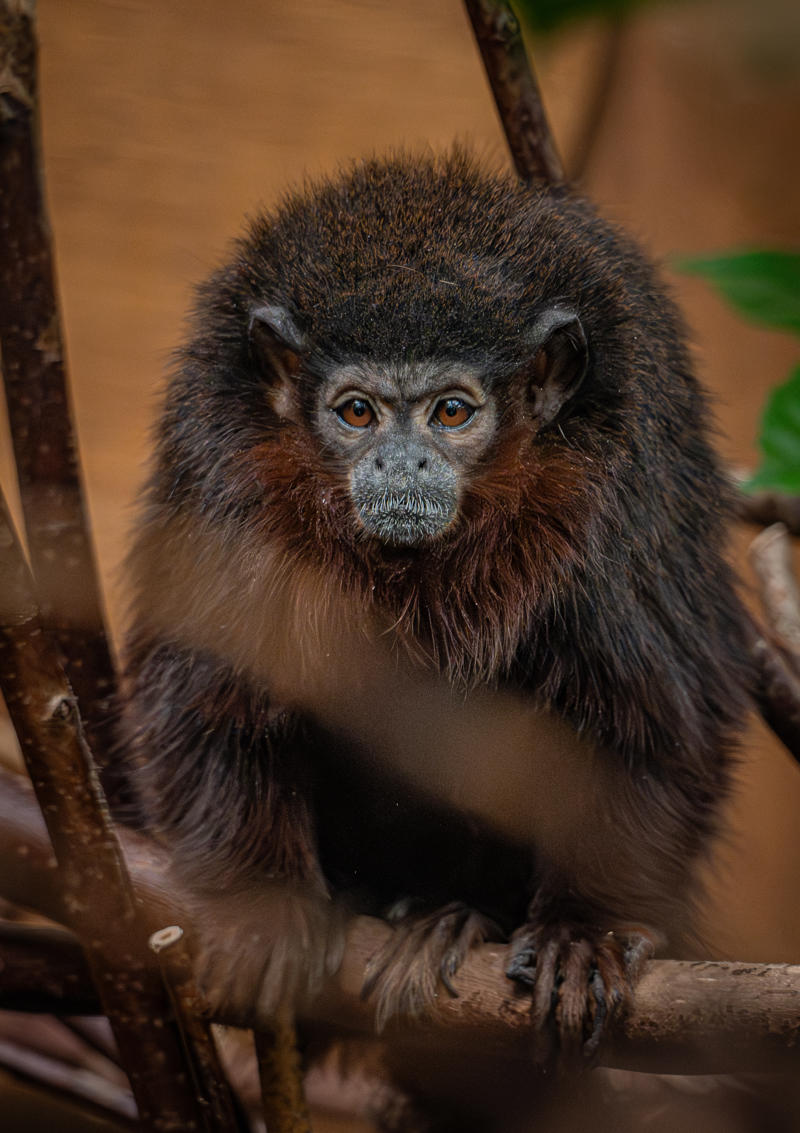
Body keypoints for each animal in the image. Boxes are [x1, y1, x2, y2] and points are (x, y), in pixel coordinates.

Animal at [119, 148, 754, 1094]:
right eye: (357, 412)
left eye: (451, 411)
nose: (402, 462)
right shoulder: (221, 466)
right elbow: (209, 687)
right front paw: (260, 902)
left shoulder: (618, 495)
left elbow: (651, 713)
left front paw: (587, 931)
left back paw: (455, 917)